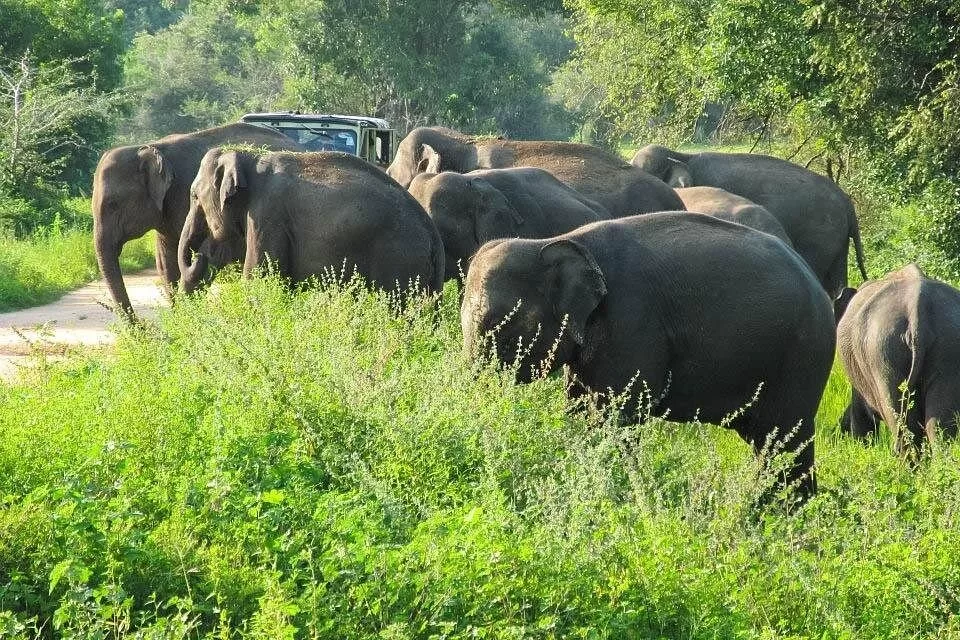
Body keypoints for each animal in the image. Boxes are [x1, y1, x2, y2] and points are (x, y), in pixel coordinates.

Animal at [178, 149, 444, 298]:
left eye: (194, 195)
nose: (199, 257)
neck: (248, 157)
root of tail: (433, 235)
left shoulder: (267, 214)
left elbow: (260, 278)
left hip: (398, 258)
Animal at [461, 212, 836, 500]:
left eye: (496, 324)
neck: (553, 241)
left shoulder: (632, 321)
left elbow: (616, 418)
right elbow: (580, 407)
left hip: (802, 355)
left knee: (785, 440)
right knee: (771, 442)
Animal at [836, 264, 960, 455]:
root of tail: (918, 308)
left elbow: (860, 414)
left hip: (882, 354)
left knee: (902, 424)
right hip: (948, 348)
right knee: (939, 426)